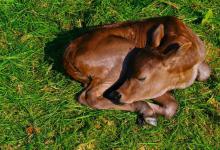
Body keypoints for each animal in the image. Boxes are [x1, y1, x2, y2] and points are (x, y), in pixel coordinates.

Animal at [63, 16, 210, 125]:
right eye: (129, 72)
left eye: (142, 78)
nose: (116, 95)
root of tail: (69, 52)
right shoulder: (155, 88)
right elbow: (172, 105)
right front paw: (149, 113)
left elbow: (206, 72)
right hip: (120, 57)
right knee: (89, 96)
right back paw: (144, 108)